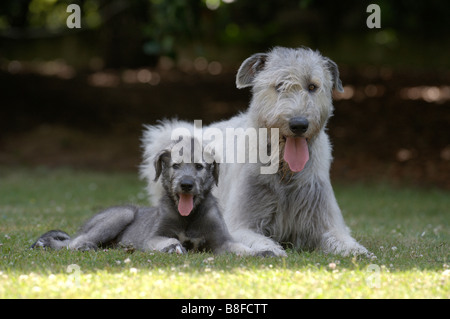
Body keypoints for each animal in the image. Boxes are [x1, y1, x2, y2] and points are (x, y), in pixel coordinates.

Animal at [30, 141, 251, 256]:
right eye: (175, 166)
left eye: (199, 166)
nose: (186, 185)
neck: (189, 217)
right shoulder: (153, 237)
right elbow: (168, 239)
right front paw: (173, 246)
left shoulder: (221, 241)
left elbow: (239, 247)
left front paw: (256, 252)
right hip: (122, 213)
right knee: (72, 243)